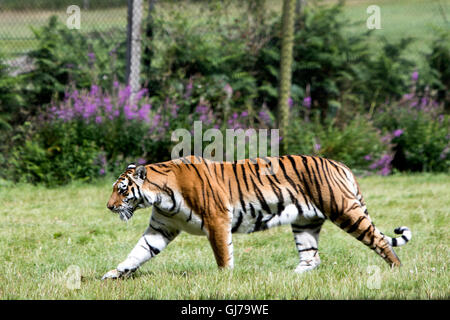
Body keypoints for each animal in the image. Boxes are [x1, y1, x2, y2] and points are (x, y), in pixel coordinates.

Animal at [102, 154, 412, 278]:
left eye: (121, 190)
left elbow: (222, 254)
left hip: (345, 210)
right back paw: (290, 277)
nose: (108, 206)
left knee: (379, 240)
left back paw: (398, 270)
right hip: (305, 223)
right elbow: (138, 252)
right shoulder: (161, 227)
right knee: (311, 256)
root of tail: (340, 164)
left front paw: (225, 279)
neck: (161, 196)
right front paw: (114, 274)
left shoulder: (217, 219)